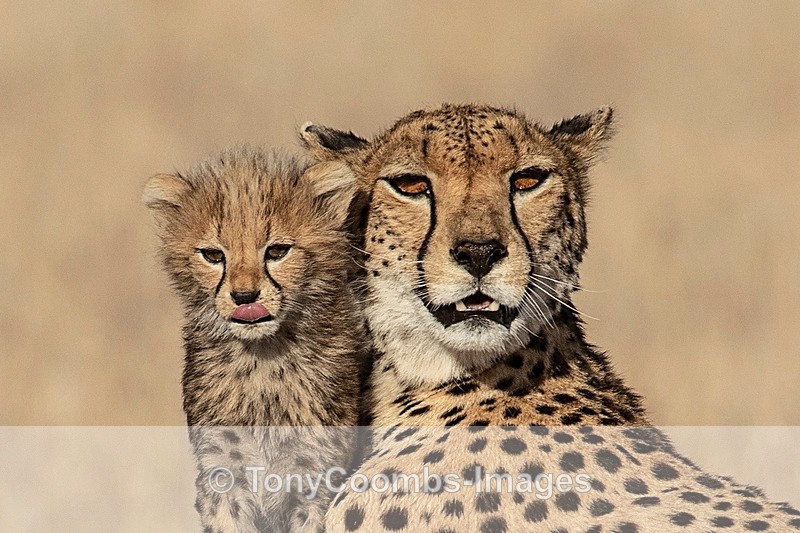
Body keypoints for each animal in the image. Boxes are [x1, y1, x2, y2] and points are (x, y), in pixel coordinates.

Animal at [143, 146, 367, 533]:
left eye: (277, 251)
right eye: (213, 255)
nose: (245, 297)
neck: (264, 358)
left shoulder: (317, 479)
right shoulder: (222, 474)